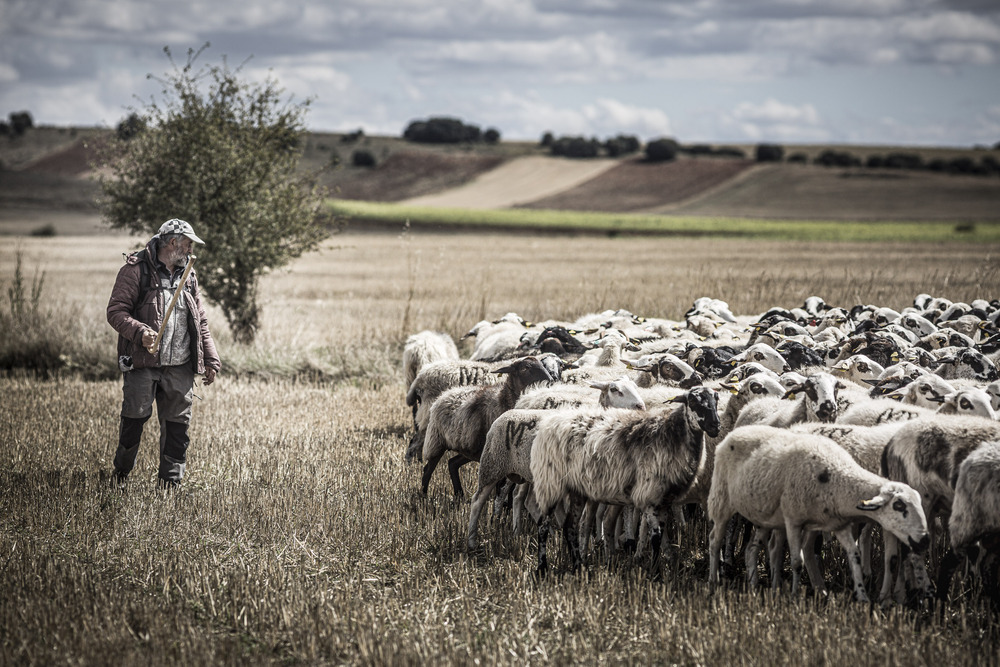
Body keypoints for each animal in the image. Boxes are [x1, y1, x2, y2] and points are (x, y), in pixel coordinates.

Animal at [418, 358, 552, 498]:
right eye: (525, 368)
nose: (550, 379)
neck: (502, 401)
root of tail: (444, 395)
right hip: (436, 442)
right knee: (428, 469)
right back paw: (423, 495)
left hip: (472, 450)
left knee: (452, 463)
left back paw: (459, 495)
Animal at [532, 386, 720, 576]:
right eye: (693, 401)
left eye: (716, 399)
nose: (715, 426)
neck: (673, 436)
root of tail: (550, 422)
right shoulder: (650, 496)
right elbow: (656, 537)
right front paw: (655, 573)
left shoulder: (664, 500)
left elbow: (661, 534)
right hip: (549, 484)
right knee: (542, 525)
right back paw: (542, 568)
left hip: (577, 488)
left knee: (570, 526)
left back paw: (578, 566)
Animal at [704, 428, 928, 604]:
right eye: (899, 505)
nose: (924, 539)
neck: (836, 478)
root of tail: (733, 433)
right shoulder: (793, 520)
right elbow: (797, 562)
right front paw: (794, 596)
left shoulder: (839, 525)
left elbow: (854, 556)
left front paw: (862, 596)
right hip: (721, 499)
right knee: (715, 539)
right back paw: (713, 581)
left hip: (763, 515)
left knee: (751, 548)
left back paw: (753, 586)